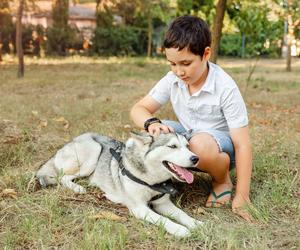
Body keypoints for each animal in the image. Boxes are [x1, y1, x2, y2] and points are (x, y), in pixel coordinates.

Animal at [36, 132, 203, 237]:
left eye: (188, 146)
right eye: (172, 146)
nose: (196, 158)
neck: (151, 180)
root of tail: (71, 140)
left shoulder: (163, 204)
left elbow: (182, 214)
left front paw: (196, 224)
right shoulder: (139, 208)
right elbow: (163, 219)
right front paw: (179, 229)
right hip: (94, 151)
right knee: (63, 177)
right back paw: (78, 187)